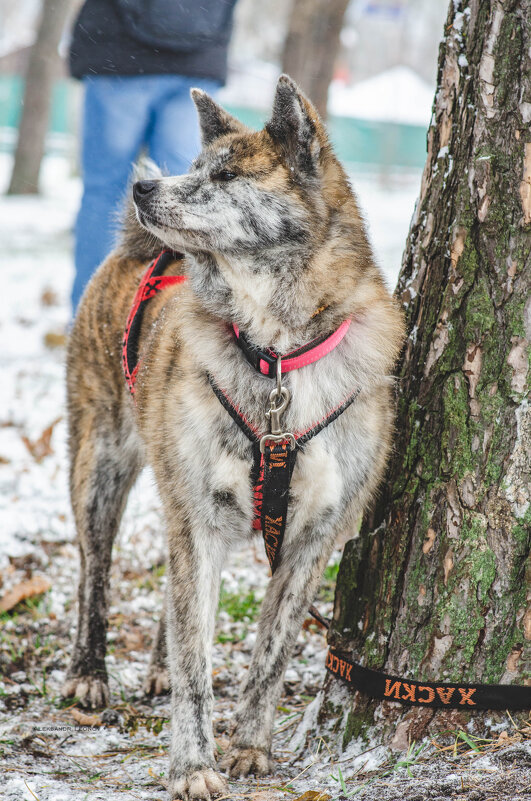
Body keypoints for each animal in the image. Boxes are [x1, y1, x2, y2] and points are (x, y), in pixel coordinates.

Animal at [63, 73, 404, 792]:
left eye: (224, 175)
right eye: (193, 167)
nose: (144, 189)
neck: (274, 354)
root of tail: (143, 251)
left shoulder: (312, 536)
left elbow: (270, 651)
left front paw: (250, 745)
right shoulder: (198, 515)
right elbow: (196, 659)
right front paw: (193, 766)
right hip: (100, 469)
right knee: (94, 574)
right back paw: (88, 670)